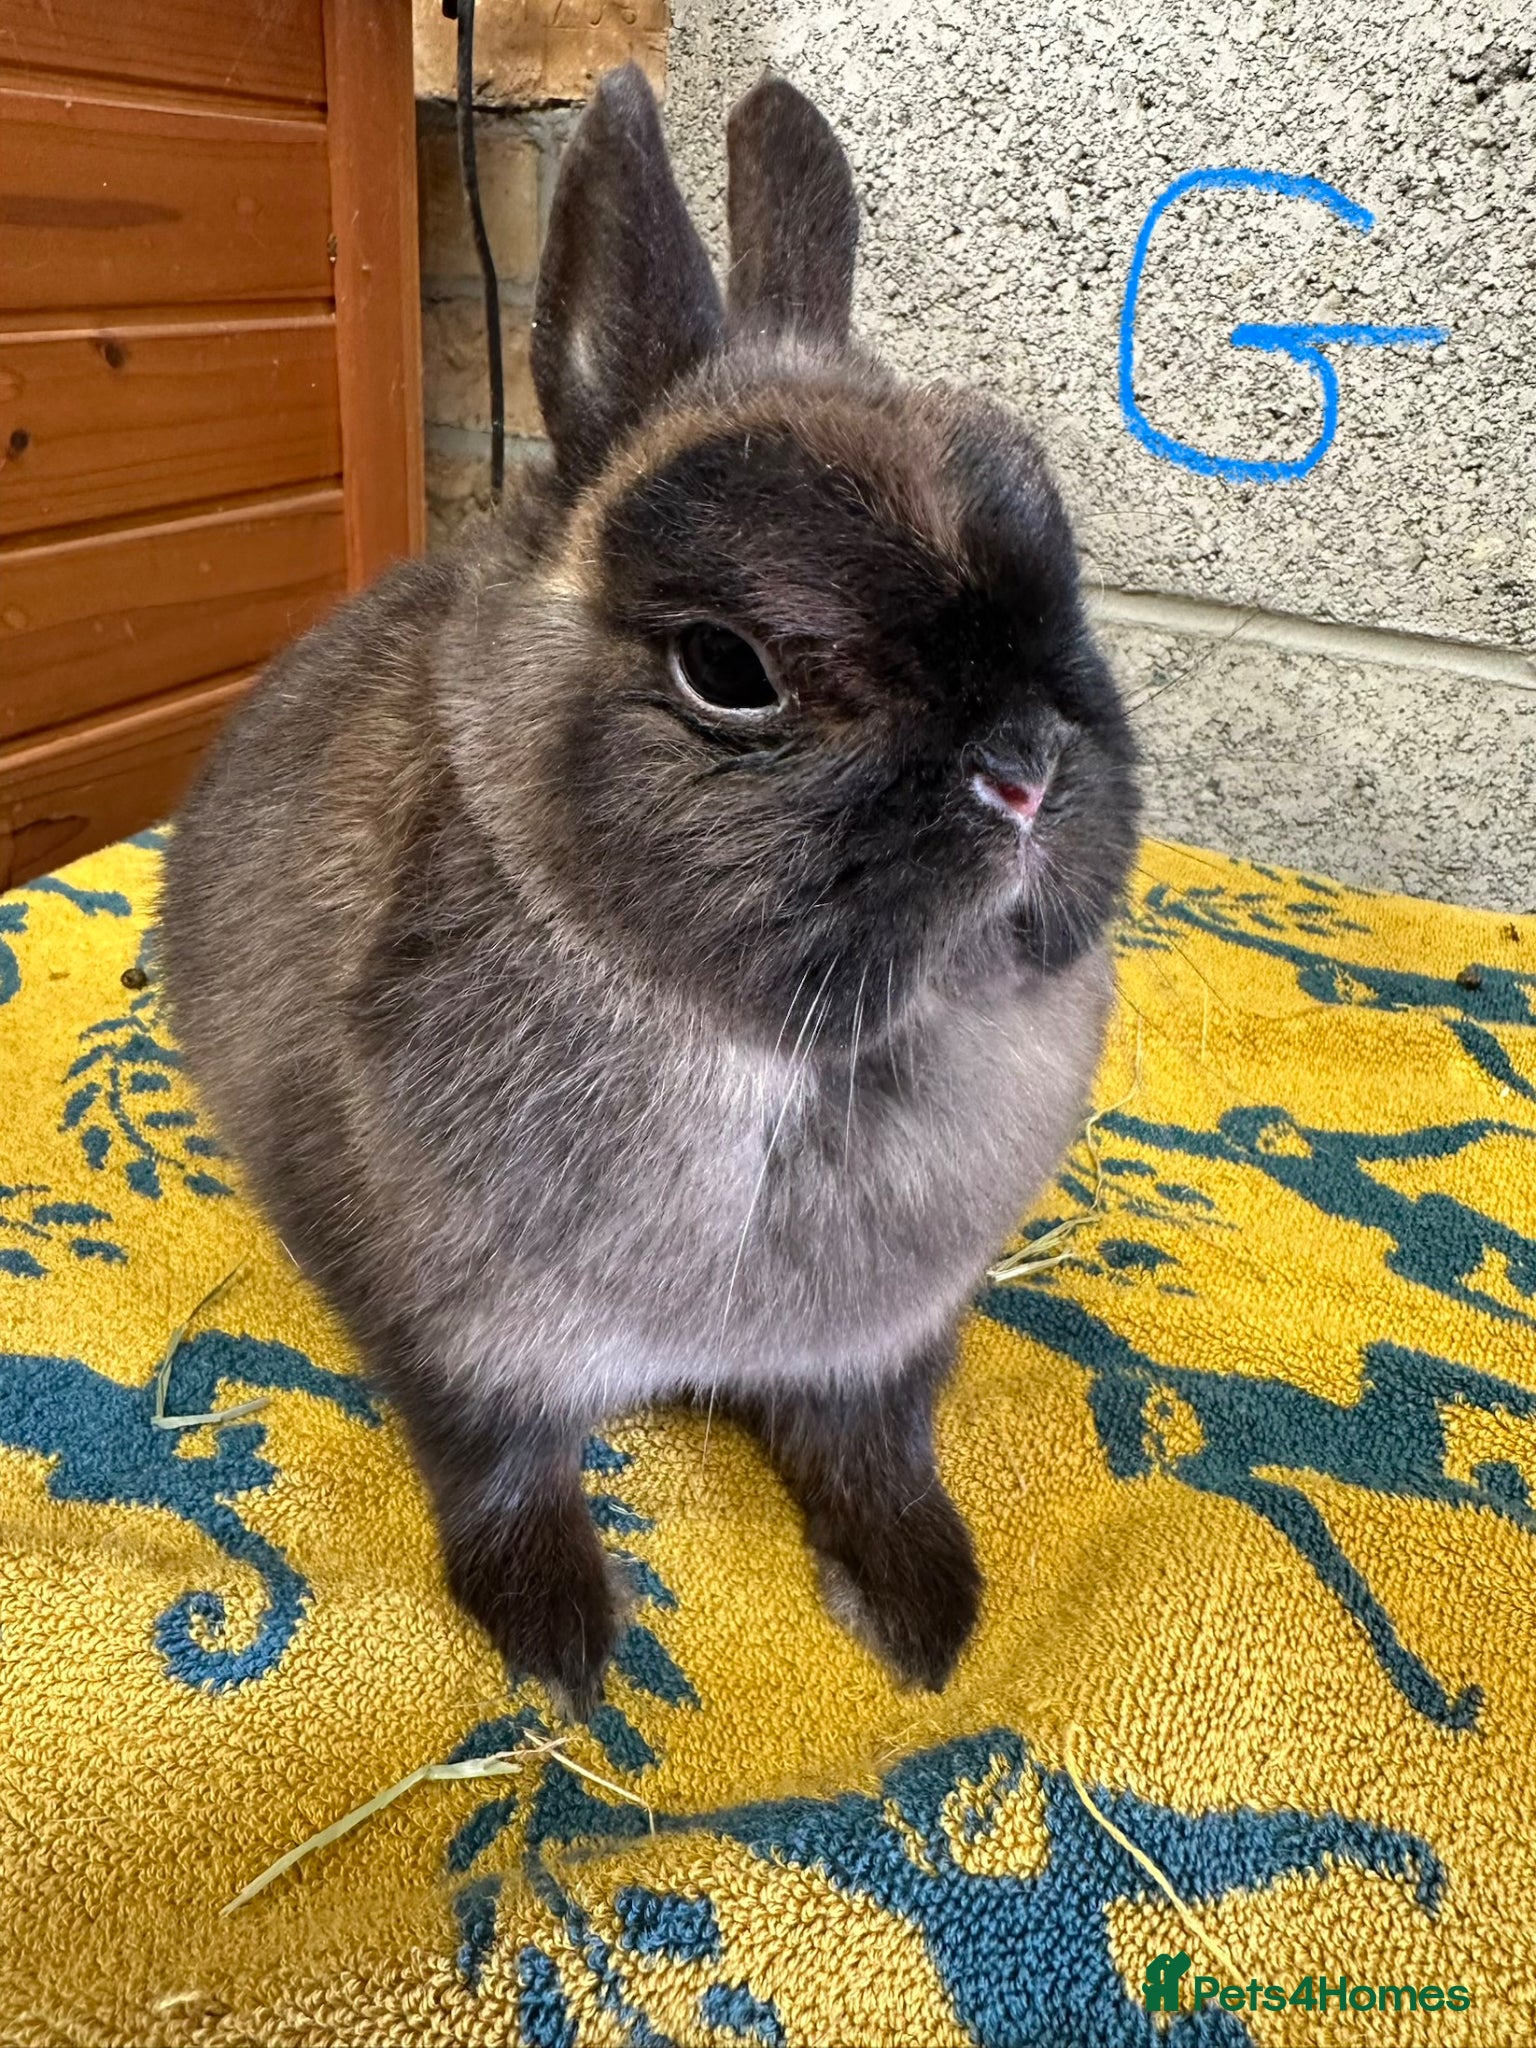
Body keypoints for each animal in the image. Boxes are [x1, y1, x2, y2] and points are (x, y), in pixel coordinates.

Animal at [159, 64, 1140, 1719]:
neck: (782, 1064)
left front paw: (923, 1614)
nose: (1023, 767)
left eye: (1065, 568)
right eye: (728, 668)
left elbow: (875, 1458)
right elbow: (502, 1473)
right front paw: (561, 1645)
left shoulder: (875, 1349)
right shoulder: (465, 1342)